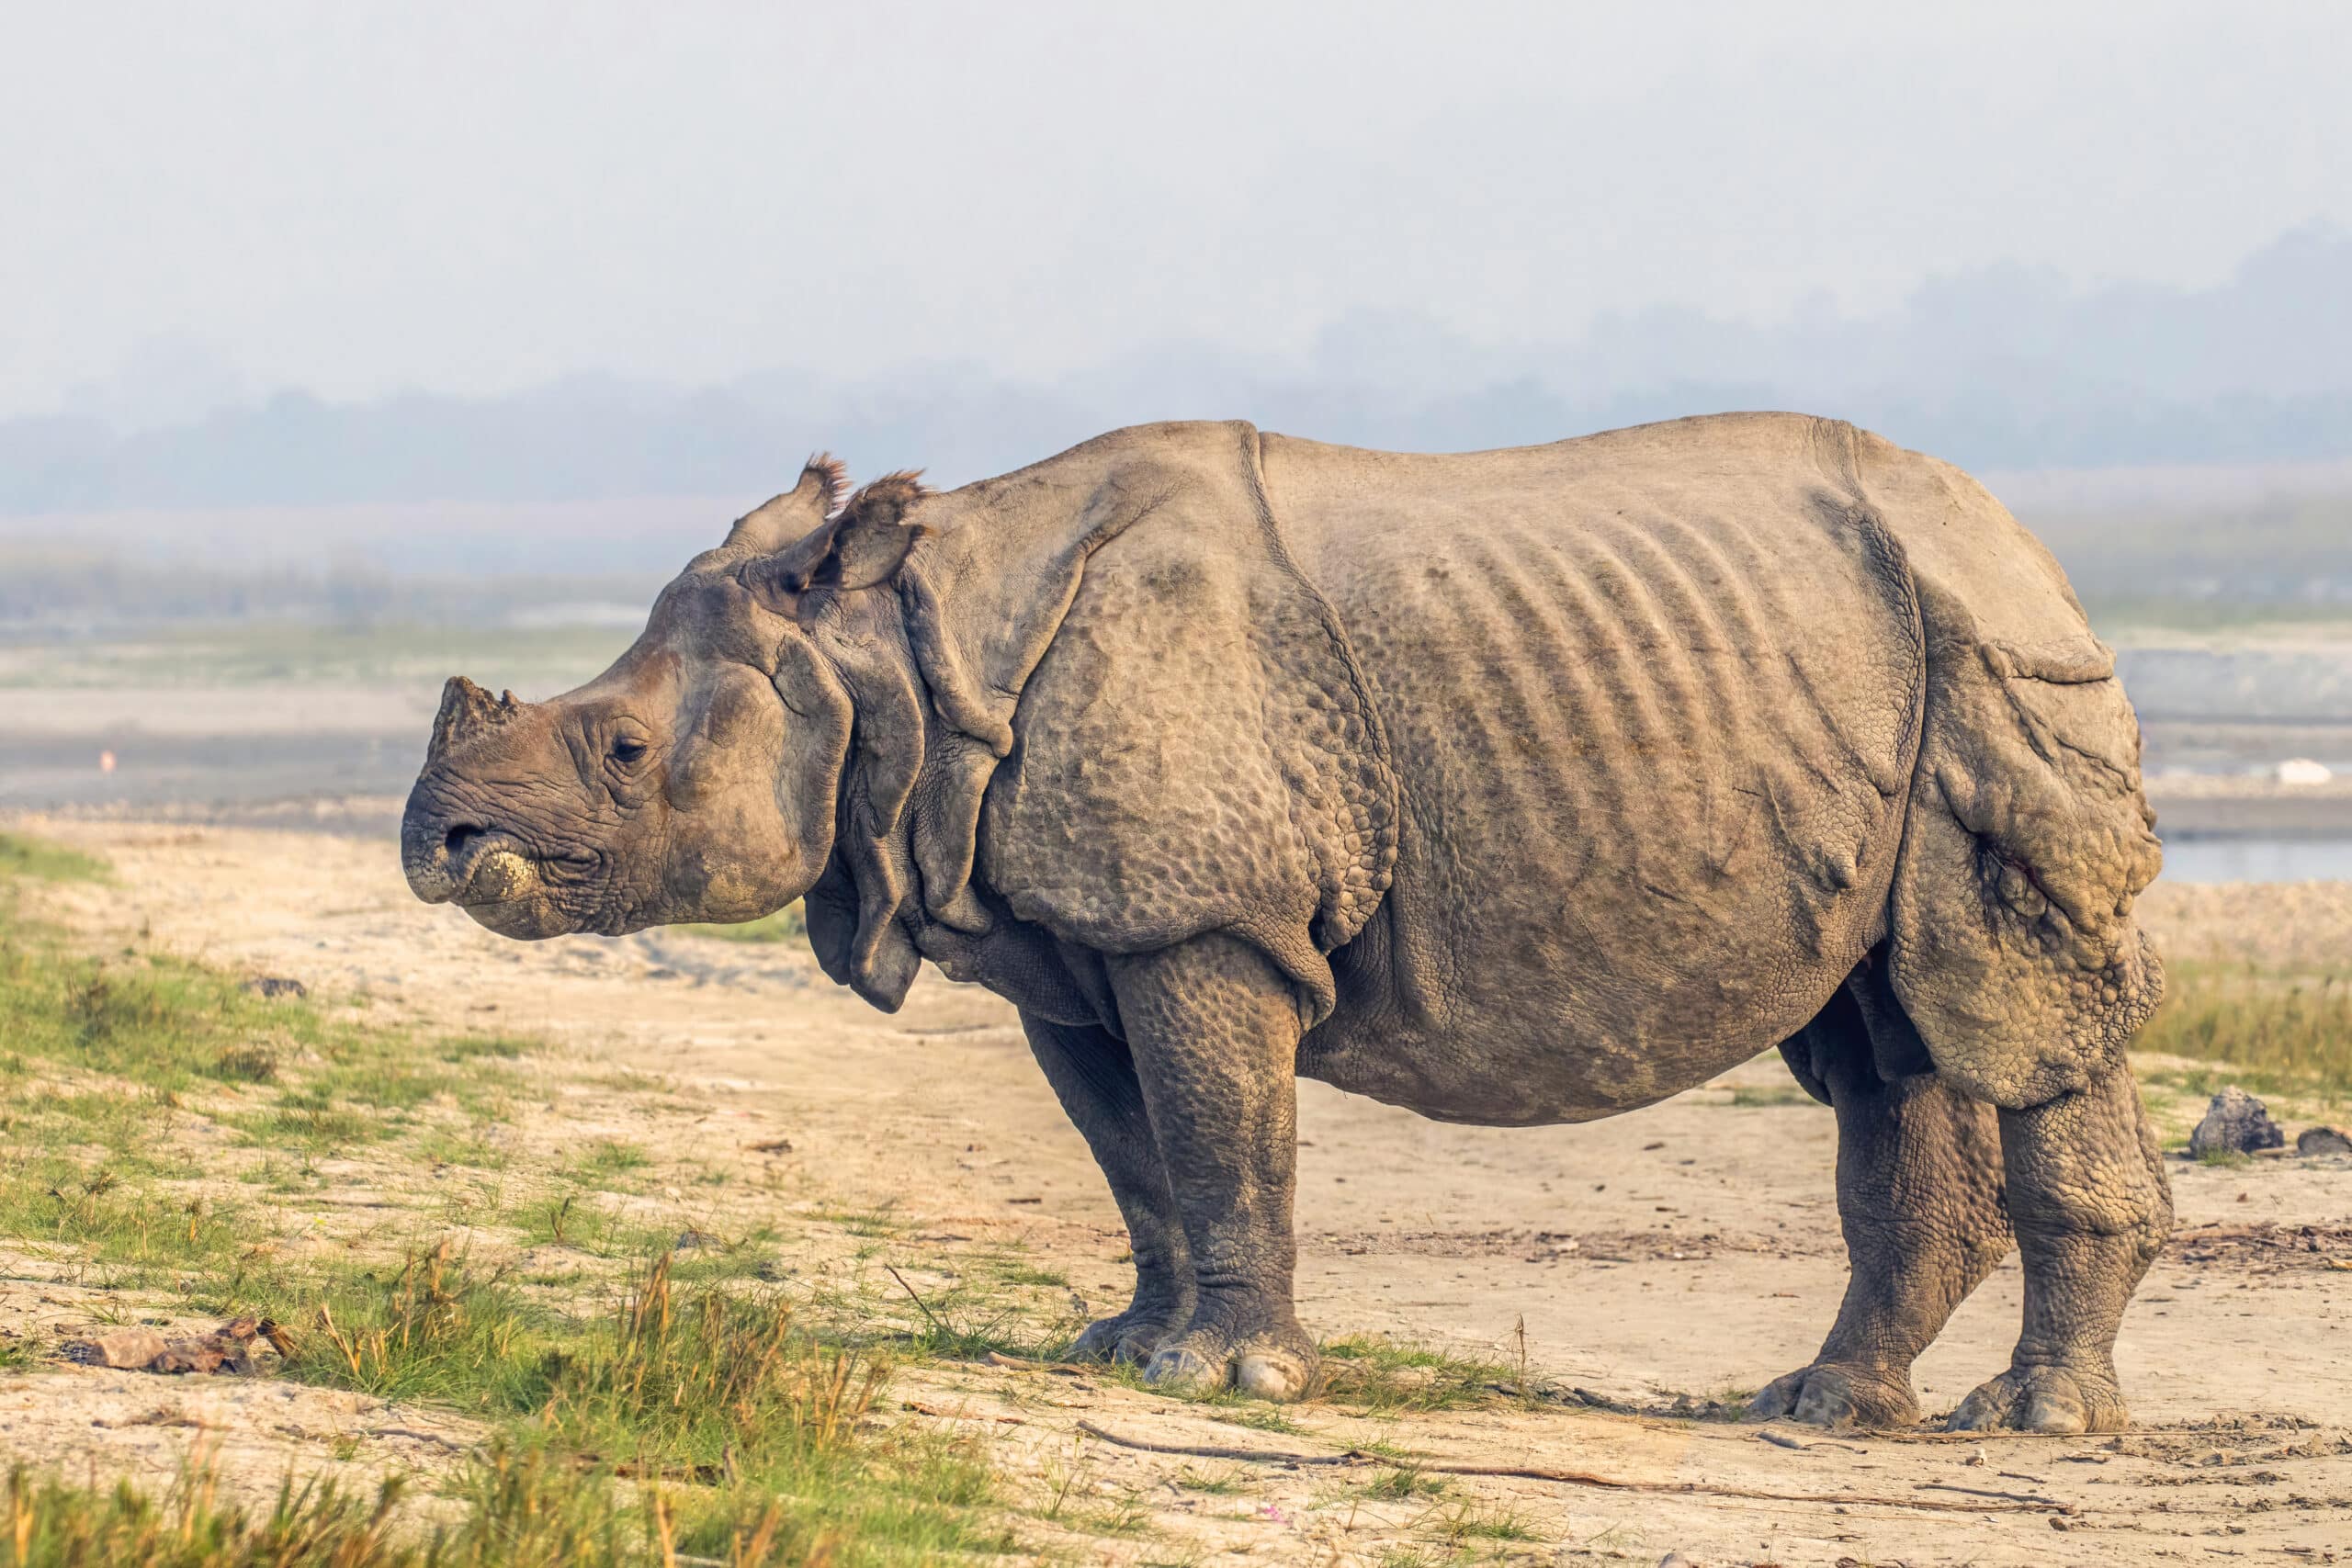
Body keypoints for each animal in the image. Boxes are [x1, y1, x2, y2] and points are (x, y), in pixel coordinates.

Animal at [402, 414, 2172, 1433]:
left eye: (625, 754)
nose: (443, 838)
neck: (892, 647)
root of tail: (2024, 537)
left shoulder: (1206, 913)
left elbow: (1220, 1123)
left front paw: (1232, 1384)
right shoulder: (1076, 940)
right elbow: (1140, 1149)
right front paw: (1126, 1350)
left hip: (1998, 650)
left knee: (2017, 1010)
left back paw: (2031, 1424)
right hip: (1895, 659)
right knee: (1884, 1032)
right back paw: (1824, 1407)